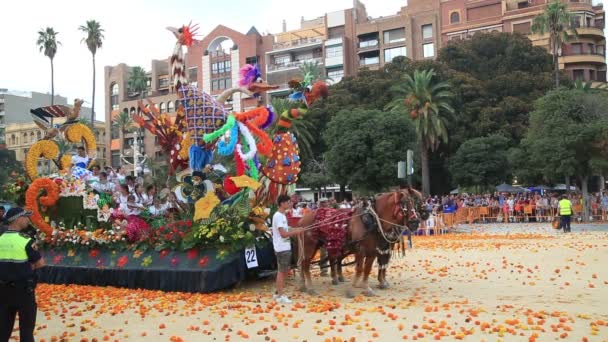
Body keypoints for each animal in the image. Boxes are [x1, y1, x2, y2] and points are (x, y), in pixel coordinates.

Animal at [296, 187, 426, 296]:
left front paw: (369, 286)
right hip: (310, 246)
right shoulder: (361, 250)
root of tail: (303, 219)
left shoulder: (376, 250)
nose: (415, 222)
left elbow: (370, 268)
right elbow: (360, 269)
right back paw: (310, 287)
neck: (372, 221)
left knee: (308, 262)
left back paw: (305, 285)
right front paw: (353, 288)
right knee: (306, 264)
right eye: (404, 204)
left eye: (414, 202)